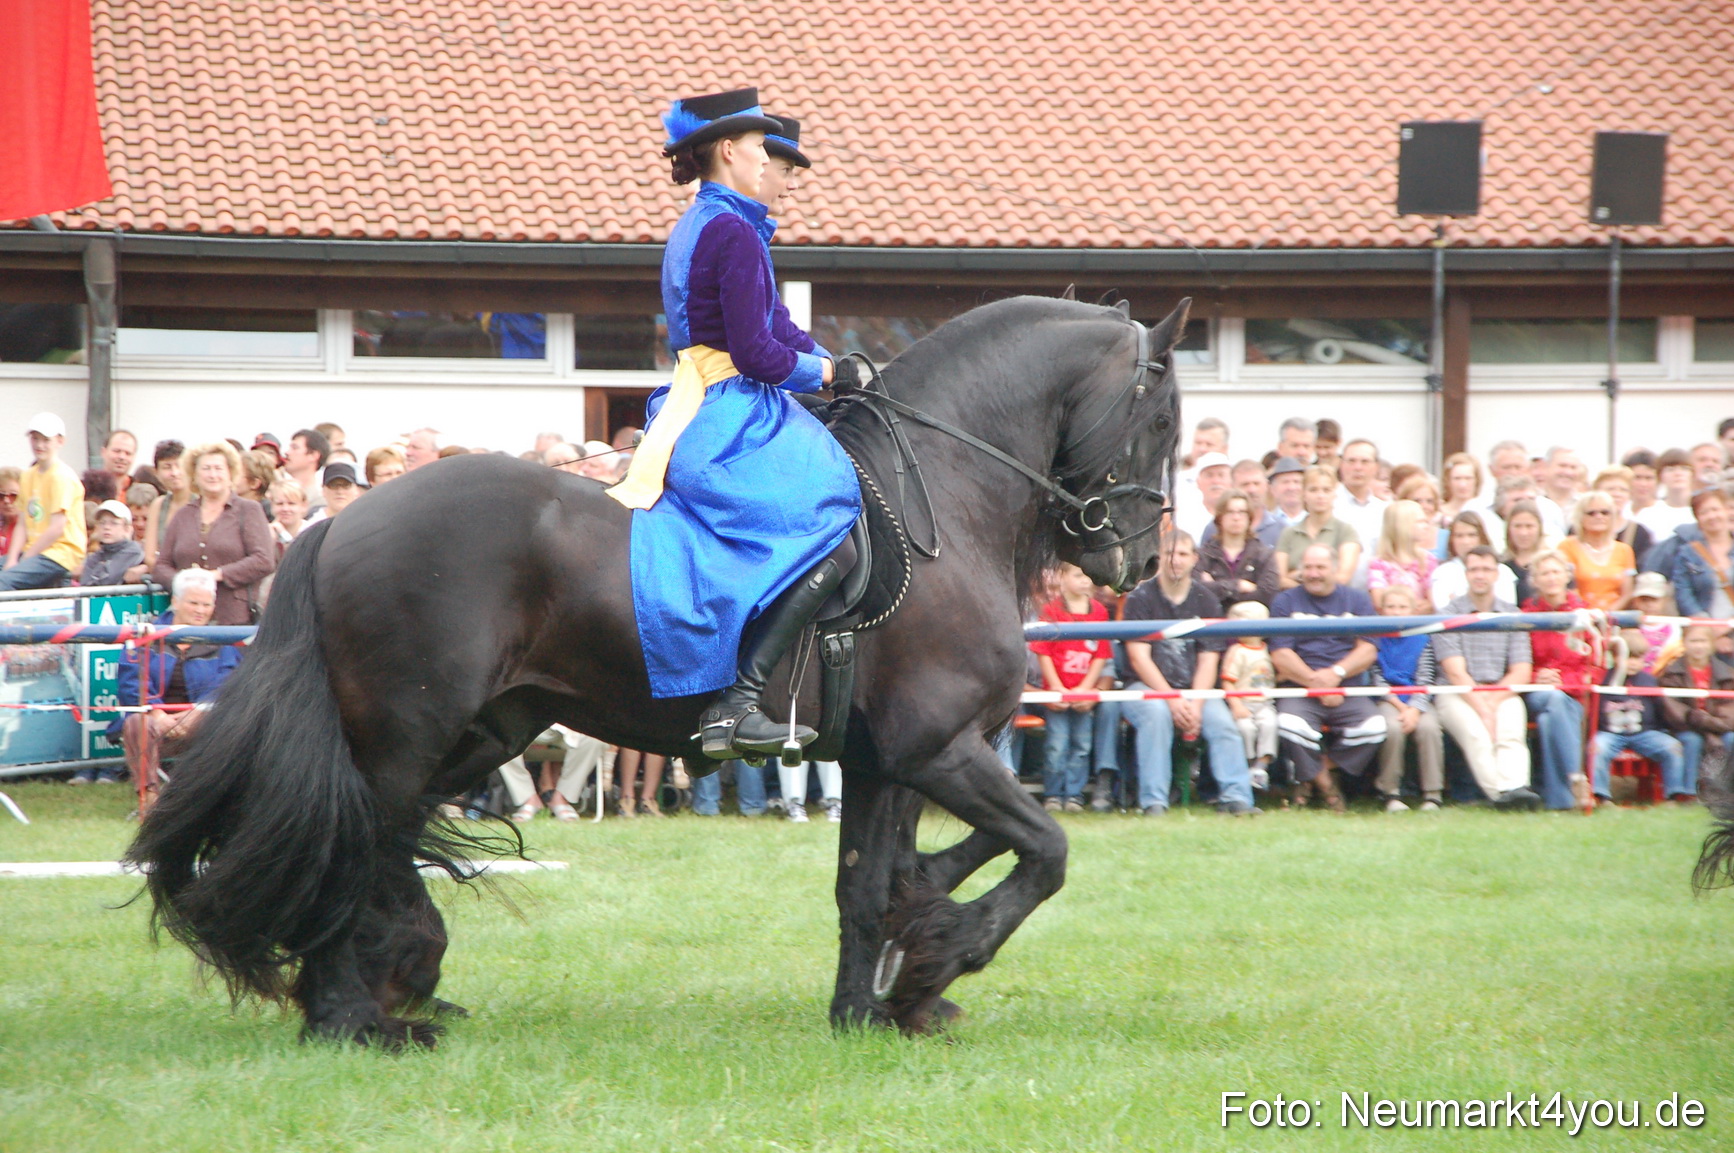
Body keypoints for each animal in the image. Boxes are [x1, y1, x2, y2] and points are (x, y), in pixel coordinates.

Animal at [126, 294, 1189, 1047]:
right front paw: (940, 960)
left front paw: (881, 994)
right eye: (1162, 420)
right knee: (357, 844)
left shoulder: (888, 760)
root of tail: (341, 523)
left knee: (383, 842)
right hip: (405, 735)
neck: (947, 497)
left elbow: (875, 882)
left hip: (481, 730)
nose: (1136, 559)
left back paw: (390, 981)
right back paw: (357, 1015)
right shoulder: (941, 748)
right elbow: (1046, 849)